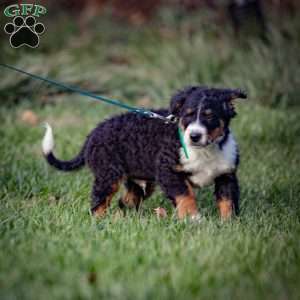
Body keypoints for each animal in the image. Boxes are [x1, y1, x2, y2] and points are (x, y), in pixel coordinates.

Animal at [42, 85, 248, 219]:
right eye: (187, 115)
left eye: (210, 116)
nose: (194, 136)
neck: (204, 151)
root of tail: (93, 134)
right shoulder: (168, 171)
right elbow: (185, 195)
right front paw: (193, 218)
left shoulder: (226, 174)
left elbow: (228, 200)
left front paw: (229, 224)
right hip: (108, 173)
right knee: (99, 200)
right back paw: (99, 221)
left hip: (139, 180)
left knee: (127, 199)